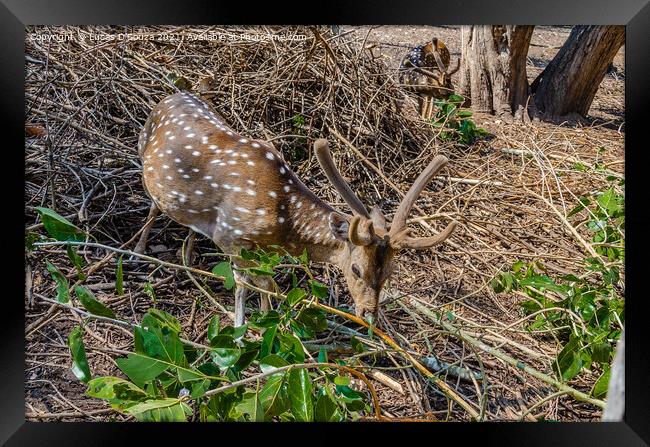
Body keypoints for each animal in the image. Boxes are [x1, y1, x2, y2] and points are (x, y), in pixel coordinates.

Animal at [133, 93, 456, 328]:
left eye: (390, 271)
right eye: (355, 268)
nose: (368, 314)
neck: (281, 221)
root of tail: (170, 95)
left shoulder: (260, 250)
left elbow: (267, 282)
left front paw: (266, 320)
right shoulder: (231, 235)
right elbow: (245, 284)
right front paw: (241, 330)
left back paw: (187, 257)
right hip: (144, 159)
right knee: (152, 207)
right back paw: (139, 251)